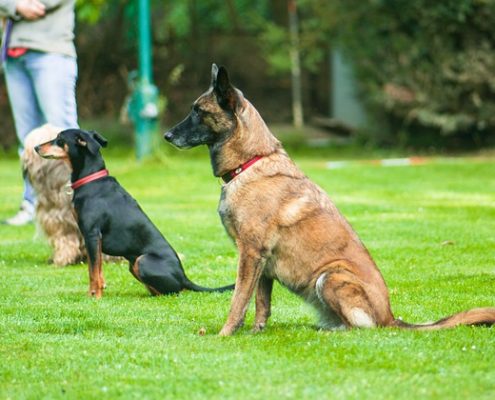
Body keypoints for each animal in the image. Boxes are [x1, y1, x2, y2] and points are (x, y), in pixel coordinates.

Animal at [36, 128, 234, 296]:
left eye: (59, 139)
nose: (36, 147)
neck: (92, 180)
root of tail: (184, 278)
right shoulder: (92, 239)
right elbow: (97, 270)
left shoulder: (92, 235)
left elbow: (93, 272)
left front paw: (94, 296)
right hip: (133, 265)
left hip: (142, 261)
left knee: (174, 292)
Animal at [164, 64, 495, 336]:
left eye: (198, 111)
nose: (167, 136)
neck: (250, 162)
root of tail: (391, 318)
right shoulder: (262, 264)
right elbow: (261, 303)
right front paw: (256, 332)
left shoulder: (250, 254)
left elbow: (238, 301)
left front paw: (225, 334)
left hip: (331, 276)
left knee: (361, 328)